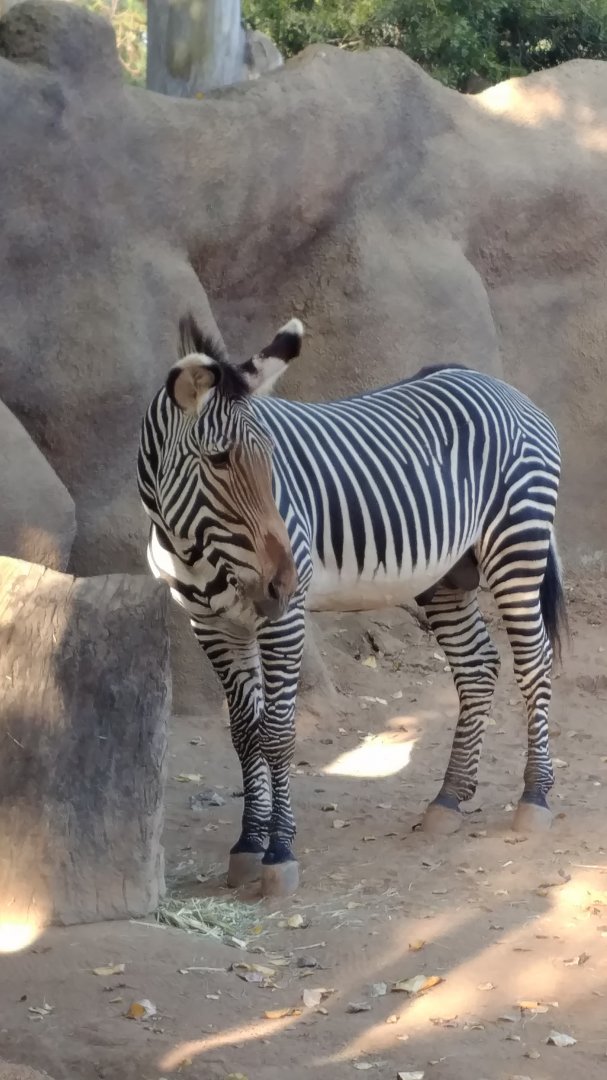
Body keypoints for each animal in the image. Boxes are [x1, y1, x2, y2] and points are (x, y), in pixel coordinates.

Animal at [137, 312, 567, 897]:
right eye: (220, 460)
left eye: (274, 463)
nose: (283, 580)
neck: (192, 548)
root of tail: (503, 389)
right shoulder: (211, 624)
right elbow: (244, 734)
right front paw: (247, 844)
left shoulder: (282, 620)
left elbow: (277, 733)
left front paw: (279, 852)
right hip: (449, 575)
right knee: (478, 668)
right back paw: (448, 799)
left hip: (518, 544)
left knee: (534, 663)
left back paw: (535, 796)